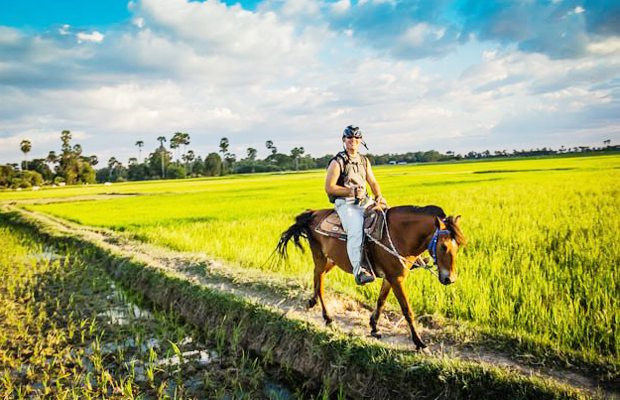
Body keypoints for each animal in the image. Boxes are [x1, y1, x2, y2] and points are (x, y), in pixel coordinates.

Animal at [276, 206, 464, 350]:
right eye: (443, 246)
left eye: (458, 247)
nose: (450, 279)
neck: (399, 236)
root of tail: (313, 213)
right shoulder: (396, 279)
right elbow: (407, 310)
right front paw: (419, 342)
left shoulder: (390, 278)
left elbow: (381, 301)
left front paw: (374, 326)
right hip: (320, 256)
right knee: (320, 281)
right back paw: (327, 317)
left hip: (331, 260)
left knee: (316, 275)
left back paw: (312, 301)